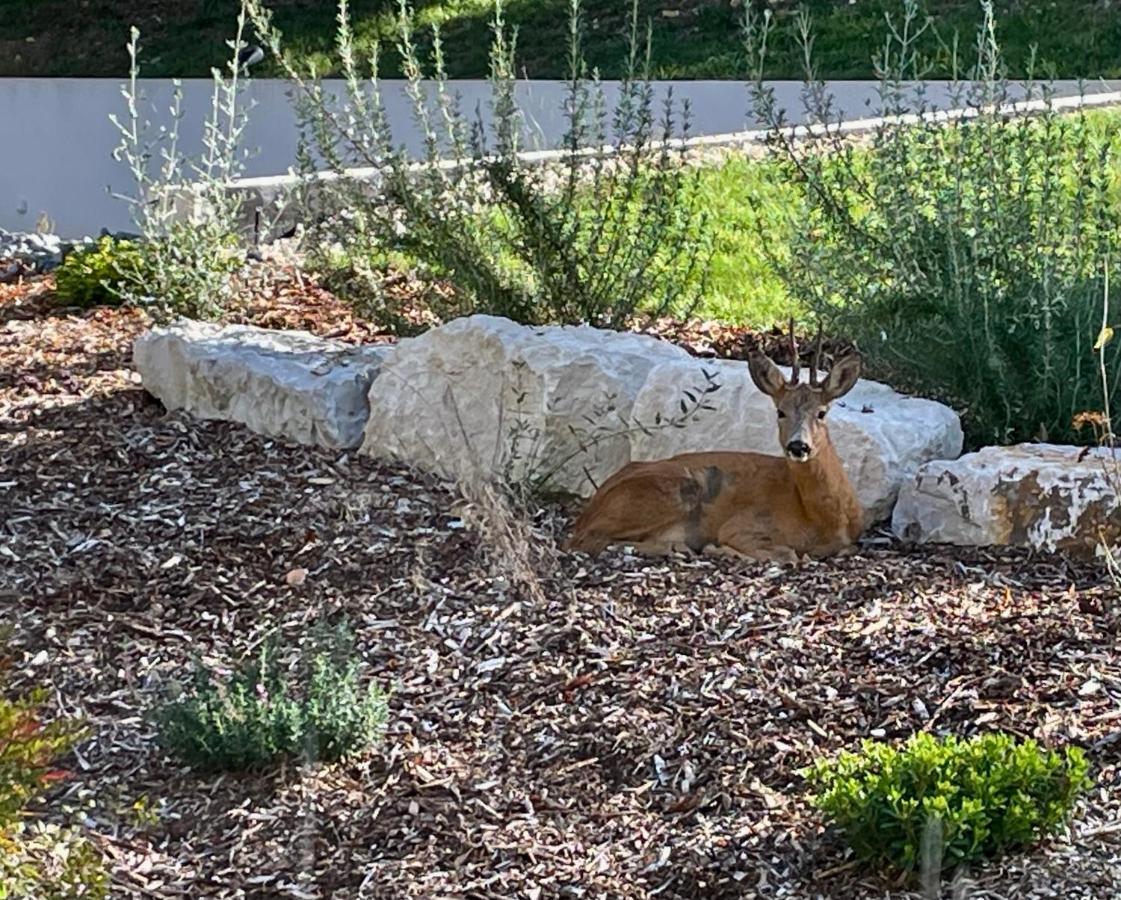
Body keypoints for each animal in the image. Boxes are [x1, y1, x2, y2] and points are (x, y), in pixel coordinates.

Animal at [569, 327, 865, 560]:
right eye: (780, 412)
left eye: (822, 413)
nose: (798, 446)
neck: (823, 520)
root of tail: (591, 508)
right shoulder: (740, 526)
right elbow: (788, 554)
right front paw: (718, 549)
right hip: (674, 490)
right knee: (584, 541)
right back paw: (678, 547)